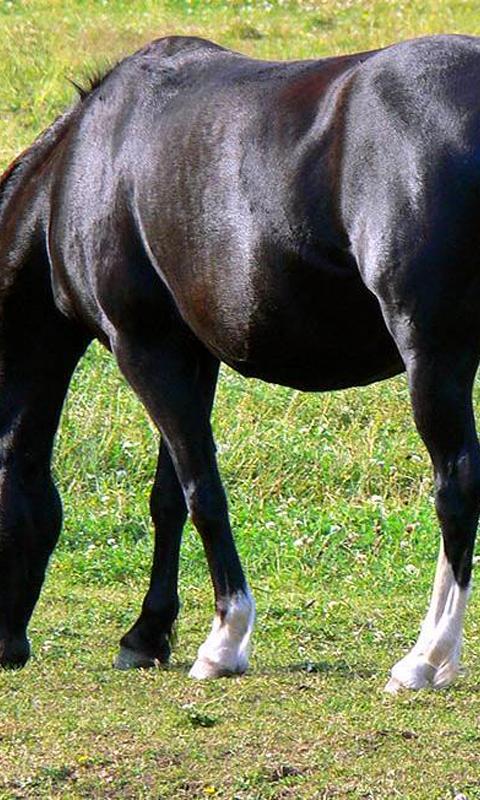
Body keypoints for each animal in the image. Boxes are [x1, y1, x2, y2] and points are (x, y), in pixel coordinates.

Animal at [1, 33, 479, 693]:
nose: (5, 649)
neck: (82, 169)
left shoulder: (142, 348)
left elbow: (203, 491)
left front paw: (223, 641)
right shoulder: (189, 356)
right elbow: (169, 498)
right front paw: (146, 636)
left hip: (433, 358)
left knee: (456, 484)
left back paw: (426, 658)